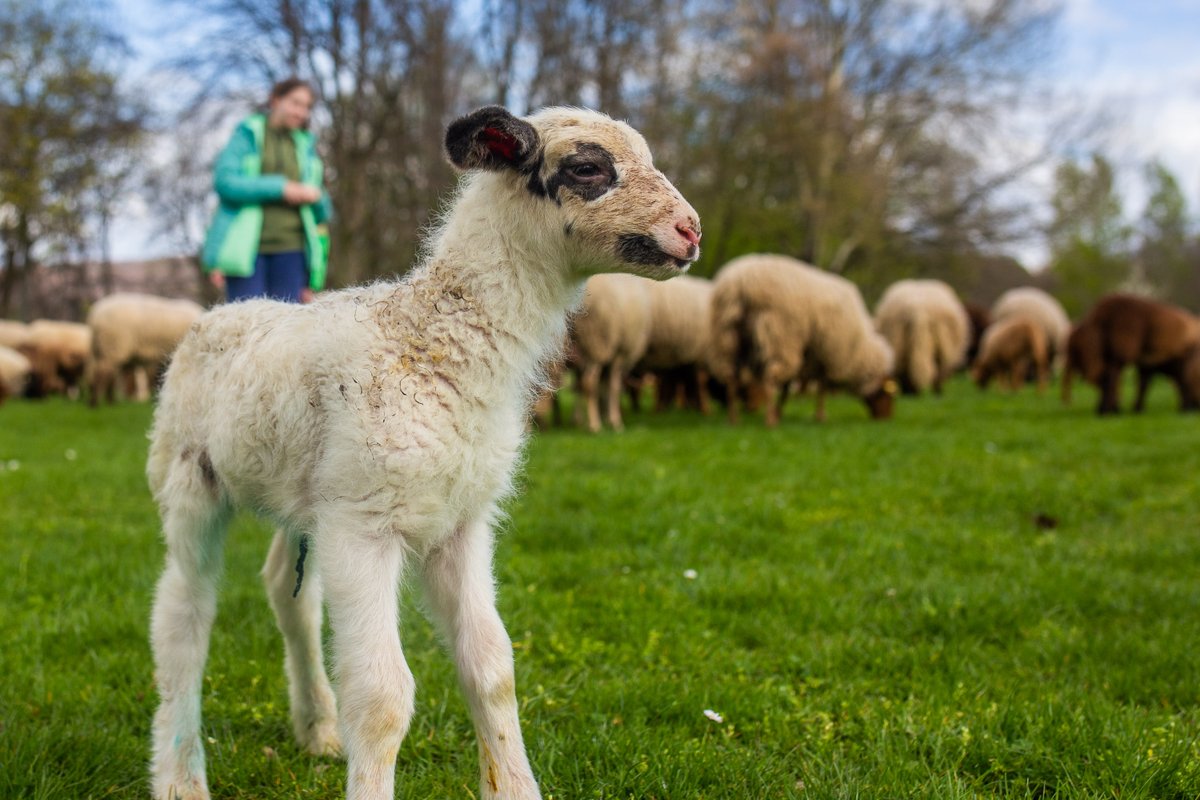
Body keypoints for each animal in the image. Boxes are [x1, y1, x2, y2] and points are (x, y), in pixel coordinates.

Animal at [569, 273, 653, 432]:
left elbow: (603, 387)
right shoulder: (620, 353)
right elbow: (614, 387)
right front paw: (615, 421)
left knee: (579, 384)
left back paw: (580, 420)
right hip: (597, 340)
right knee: (589, 382)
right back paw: (594, 425)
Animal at [709, 254, 896, 425]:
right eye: (885, 394)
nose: (885, 418)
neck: (859, 346)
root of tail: (739, 283)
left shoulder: (813, 352)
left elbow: (788, 387)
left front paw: (781, 412)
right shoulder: (827, 352)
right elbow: (822, 387)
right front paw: (820, 417)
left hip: (728, 335)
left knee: (731, 376)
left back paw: (734, 419)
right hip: (779, 334)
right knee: (770, 377)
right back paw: (770, 421)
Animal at [1060, 293, 1200, 414]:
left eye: (1075, 349)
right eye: (1071, 348)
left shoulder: (1123, 349)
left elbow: (1111, 377)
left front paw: (1109, 411)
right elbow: (1113, 378)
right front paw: (1112, 409)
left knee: (1184, 381)